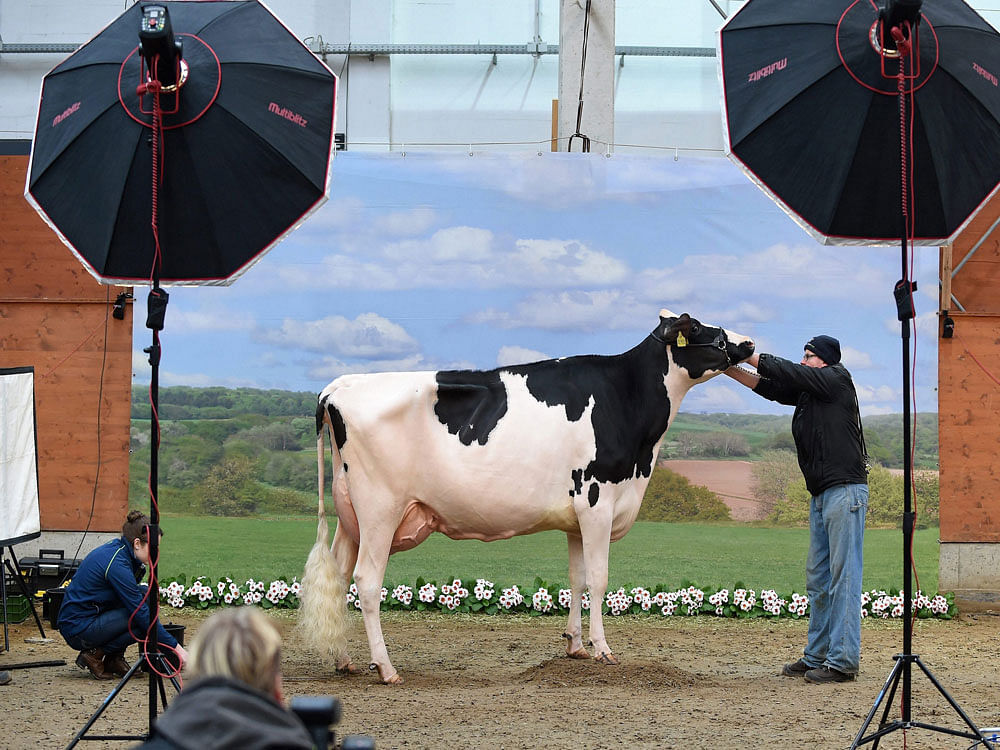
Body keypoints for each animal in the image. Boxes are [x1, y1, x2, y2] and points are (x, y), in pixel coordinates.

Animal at [300, 308, 752, 684]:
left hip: (351, 515)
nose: (748, 343)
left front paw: (575, 646)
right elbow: (600, 579)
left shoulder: (576, 516)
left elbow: (577, 578)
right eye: (699, 328)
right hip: (380, 509)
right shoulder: (597, 501)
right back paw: (386, 668)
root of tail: (340, 385)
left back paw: (343, 660)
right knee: (367, 580)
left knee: (339, 577)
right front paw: (603, 649)